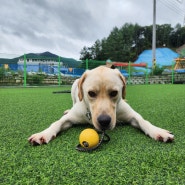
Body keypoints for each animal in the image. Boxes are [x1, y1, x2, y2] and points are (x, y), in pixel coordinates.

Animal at [28, 66, 174, 145]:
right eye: (91, 93)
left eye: (114, 93)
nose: (104, 121)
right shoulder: (71, 117)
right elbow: (56, 123)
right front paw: (44, 133)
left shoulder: (131, 114)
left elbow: (143, 121)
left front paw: (157, 131)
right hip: (74, 86)